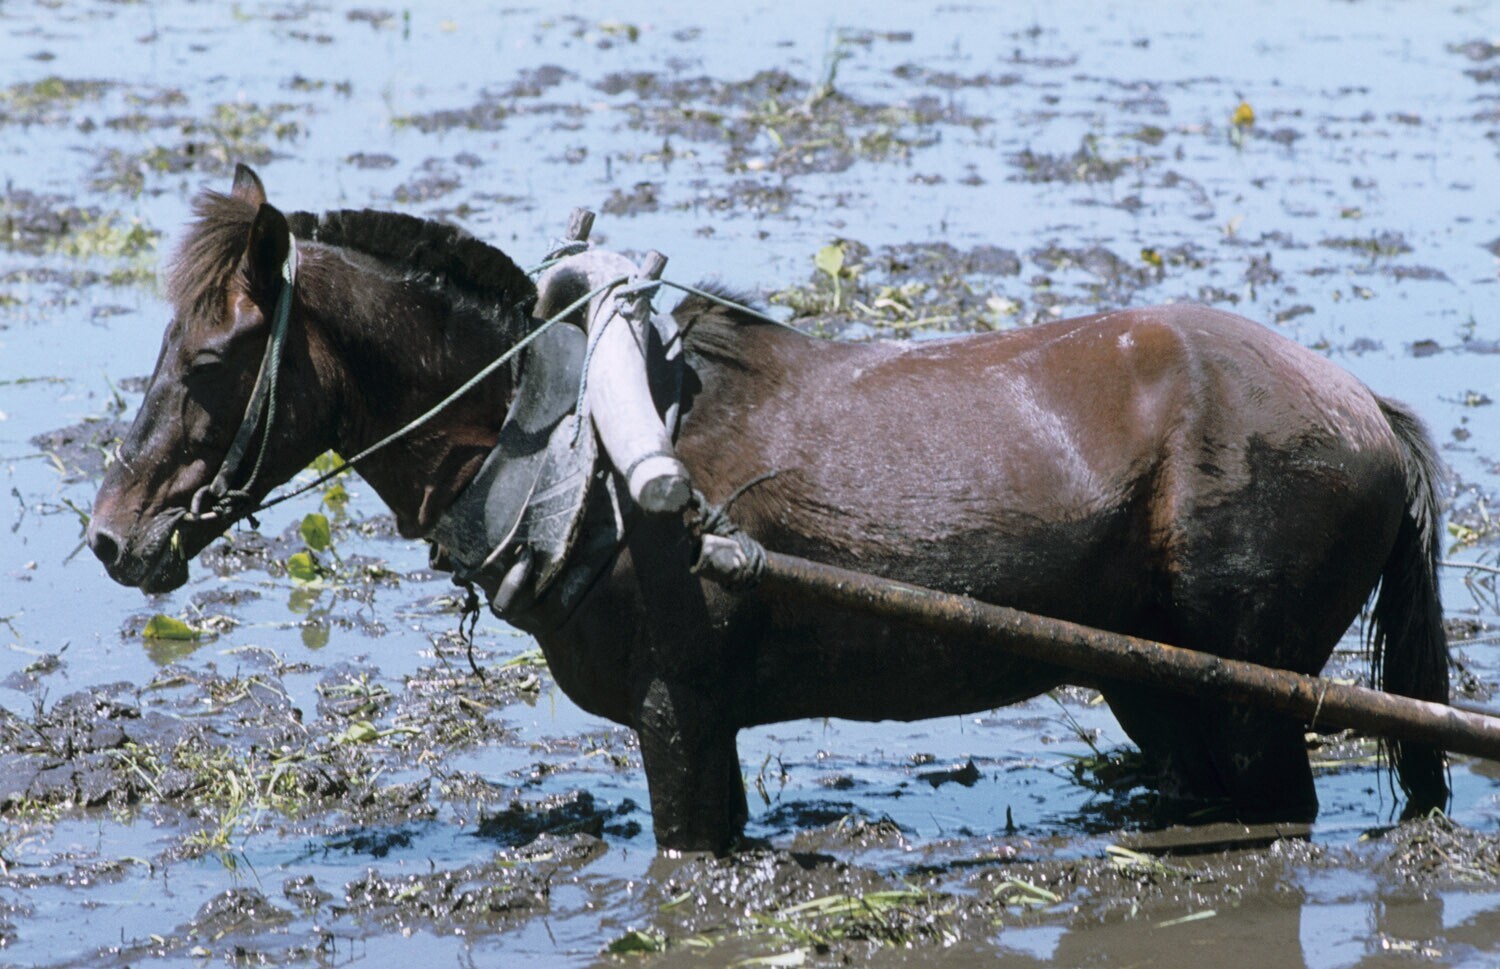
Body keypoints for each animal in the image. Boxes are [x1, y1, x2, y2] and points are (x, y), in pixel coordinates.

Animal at [89, 165, 1450, 852]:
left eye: (212, 356)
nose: (112, 533)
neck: (583, 448)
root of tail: (1368, 412)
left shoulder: (674, 709)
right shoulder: (707, 722)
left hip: (1256, 693)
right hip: (1152, 680)